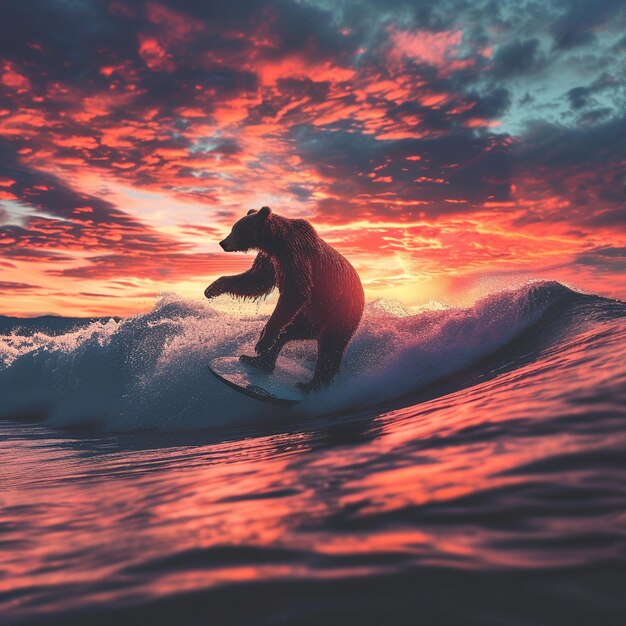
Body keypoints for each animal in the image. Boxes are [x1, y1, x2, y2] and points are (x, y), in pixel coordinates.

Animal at [202, 206, 364, 390]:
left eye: (238, 229)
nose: (223, 243)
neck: (275, 243)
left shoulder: (296, 255)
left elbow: (295, 291)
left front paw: (262, 341)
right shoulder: (271, 260)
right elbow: (255, 280)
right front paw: (212, 288)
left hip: (338, 314)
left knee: (330, 349)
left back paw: (311, 384)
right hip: (308, 316)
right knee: (287, 333)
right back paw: (258, 360)